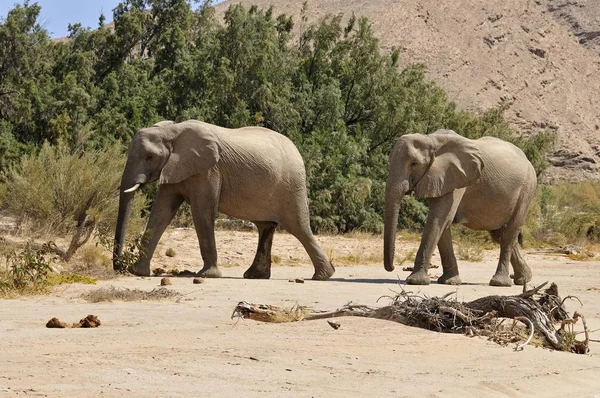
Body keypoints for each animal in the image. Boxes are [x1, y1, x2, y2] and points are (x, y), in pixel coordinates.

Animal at [115, 119, 336, 282]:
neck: (172, 131)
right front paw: (138, 272)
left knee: (298, 227)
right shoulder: (175, 168)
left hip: (291, 186)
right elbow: (161, 212)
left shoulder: (208, 170)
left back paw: (322, 276)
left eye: (150, 157)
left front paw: (207, 275)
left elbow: (202, 212)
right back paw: (255, 276)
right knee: (265, 227)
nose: (119, 267)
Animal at [384, 131, 540, 286]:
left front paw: (415, 281)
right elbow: (443, 223)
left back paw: (500, 282)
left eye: (414, 164)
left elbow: (439, 219)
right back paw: (524, 279)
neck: (431, 139)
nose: (392, 268)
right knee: (498, 234)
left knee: (510, 232)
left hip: (527, 189)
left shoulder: (456, 177)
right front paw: (450, 282)